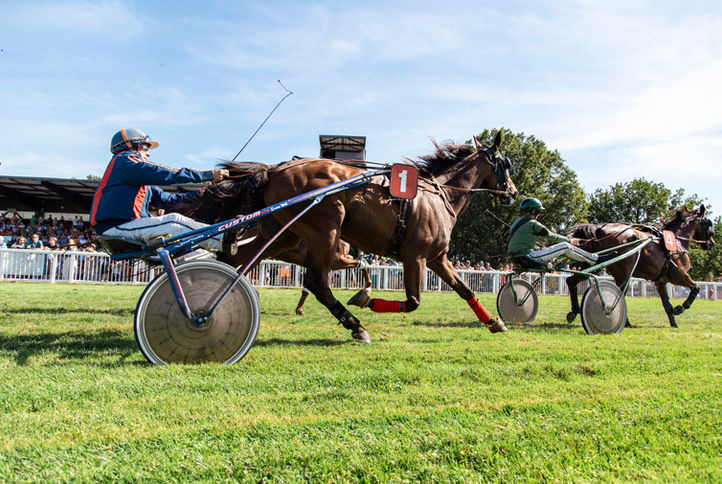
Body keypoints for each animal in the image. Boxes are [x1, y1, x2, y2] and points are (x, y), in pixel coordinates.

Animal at [189, 132, 518, 343]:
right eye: (506, 163)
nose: (514, 192)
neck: (438, 195)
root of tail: (275, 169)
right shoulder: (416, 256)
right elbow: (413, 301)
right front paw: (366, 299)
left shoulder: (437, 258)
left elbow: (465, 289)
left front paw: (494, 321)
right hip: (324, 230)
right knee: (316, 283)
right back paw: (355, 326)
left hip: (282, 235)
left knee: (234, 260)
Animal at [565, 206, 715, 327]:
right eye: (708, 224)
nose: (711, 243)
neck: (676, 243)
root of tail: (599, 229)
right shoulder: (679, 275)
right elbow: (696, 287)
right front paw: (681, 307)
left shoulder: (661, 281)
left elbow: (667, 304)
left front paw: (674, 322)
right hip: (623, 272)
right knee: (619, 295)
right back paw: (624, 321)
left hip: (593, 263)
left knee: (571, 281)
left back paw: (575, 310)